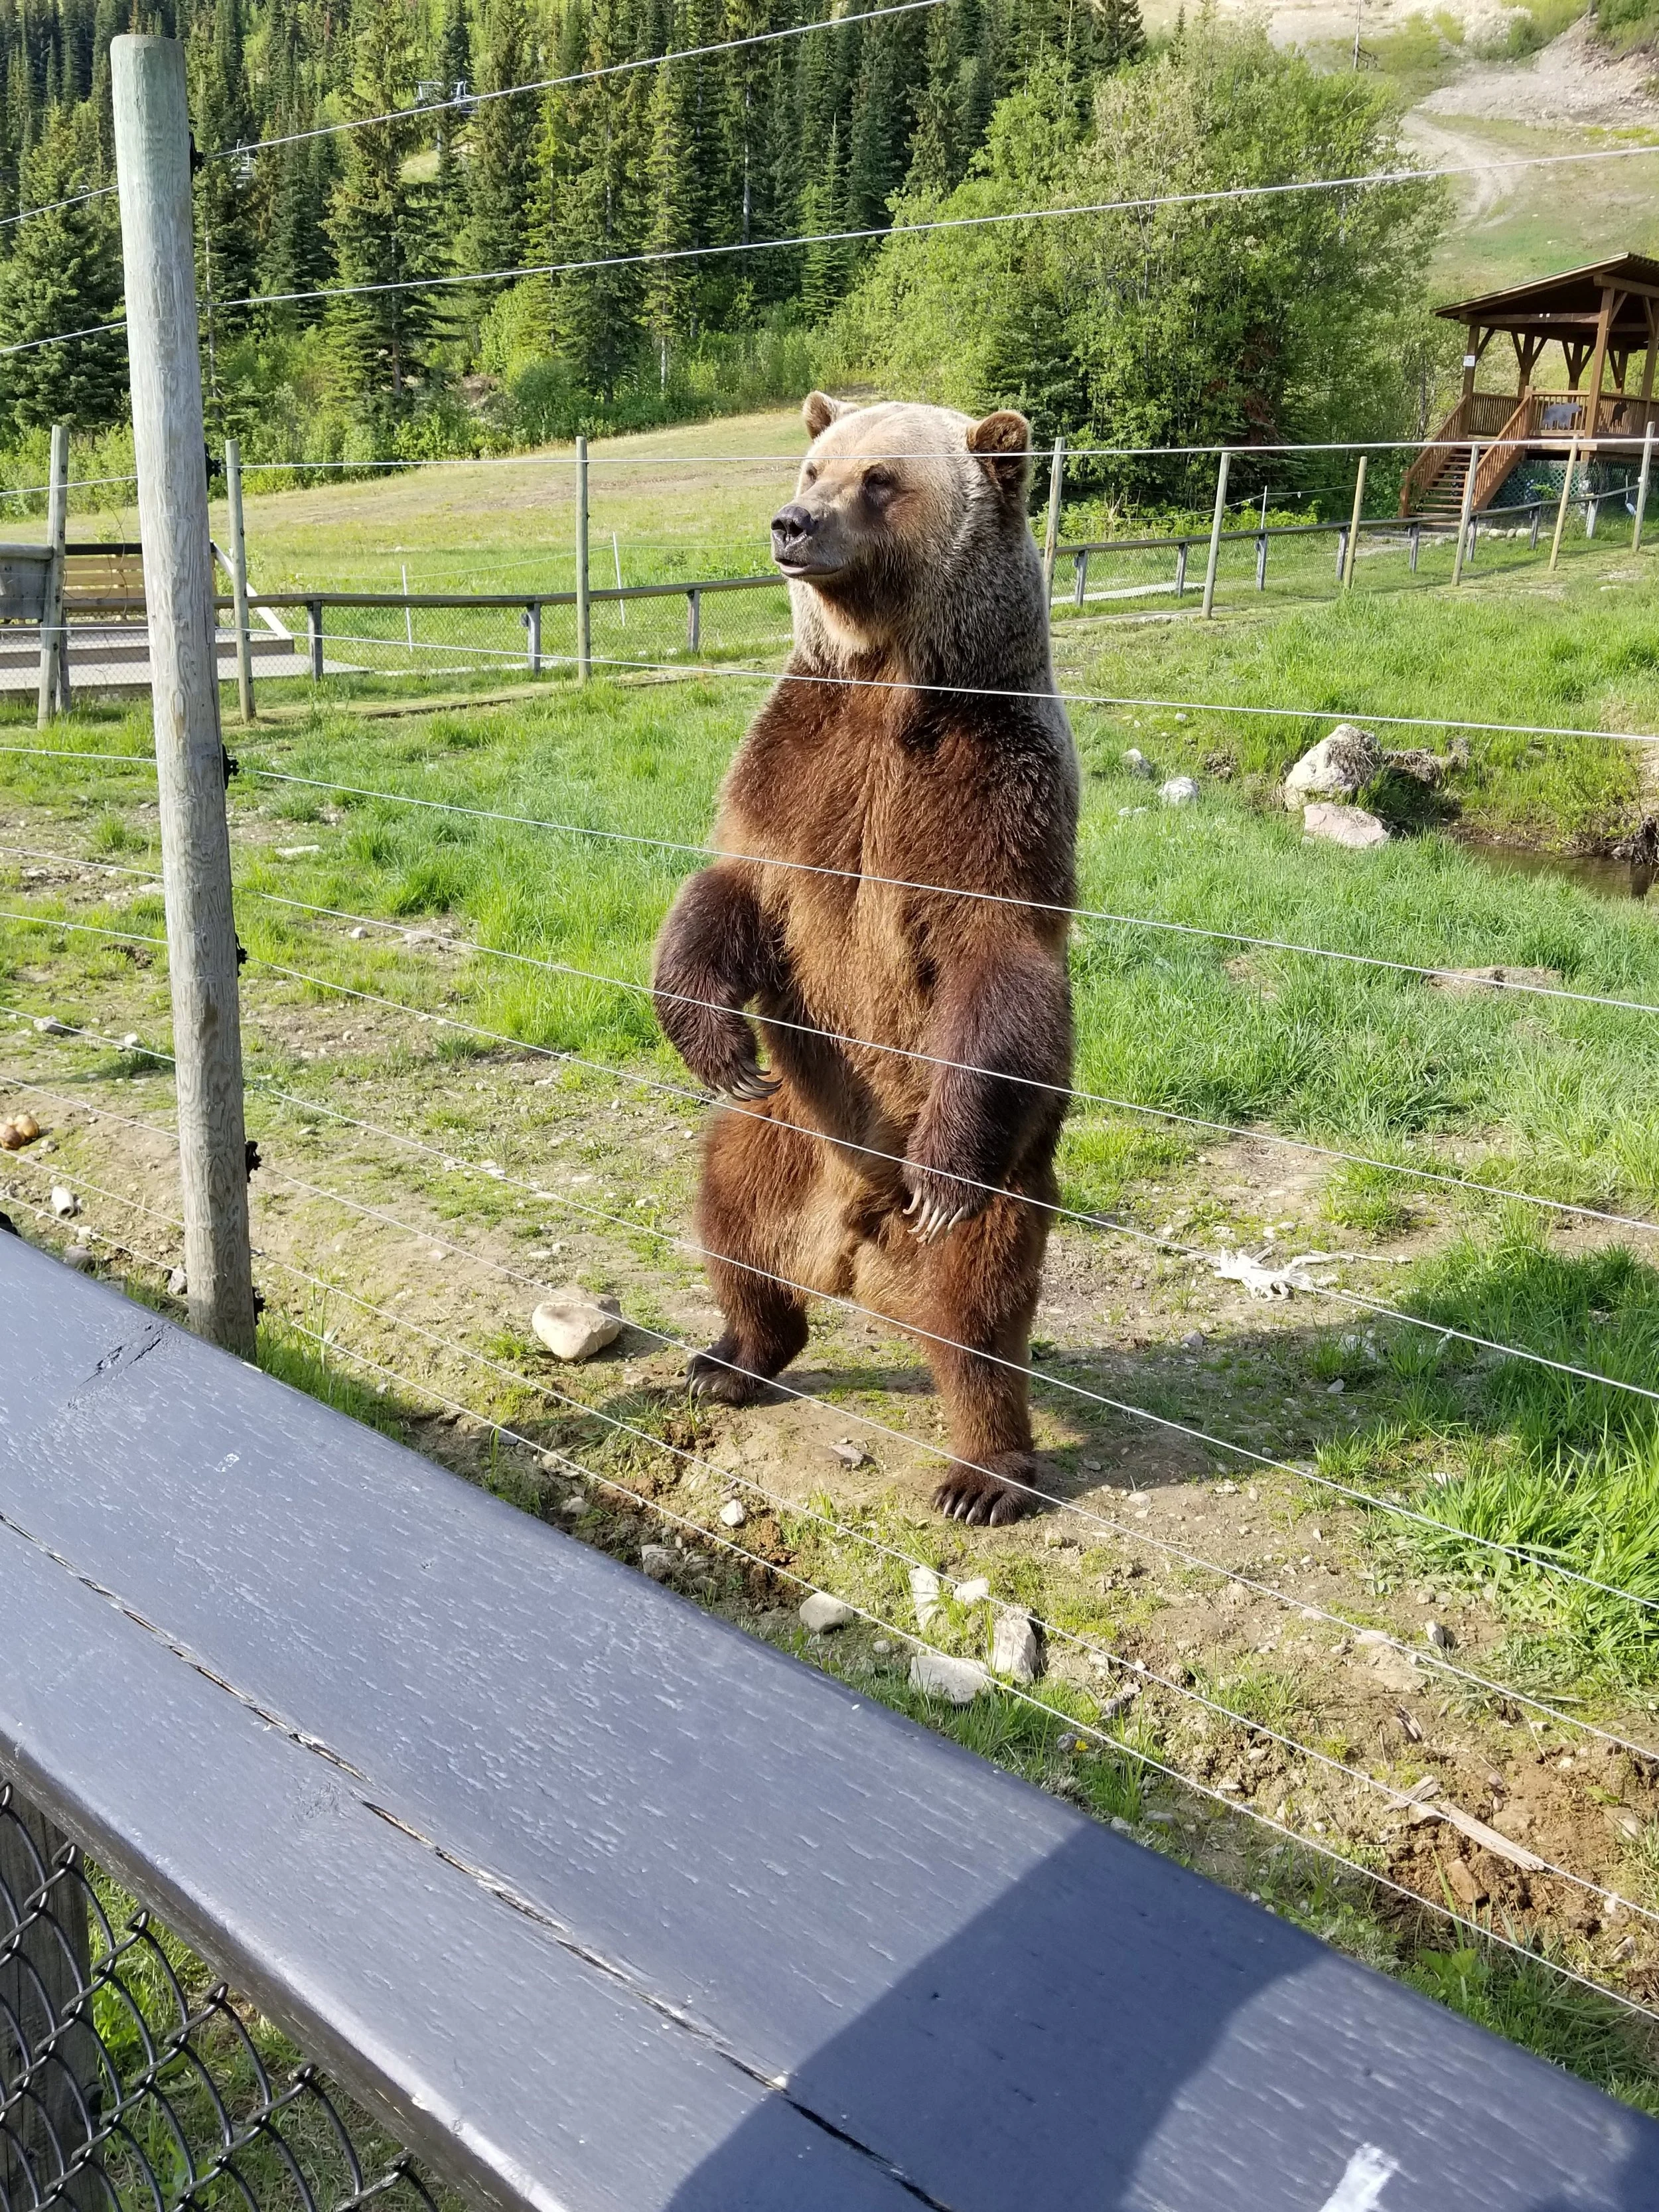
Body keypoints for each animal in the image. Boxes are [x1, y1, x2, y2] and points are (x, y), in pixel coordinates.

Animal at [649, 392, 1078, 1526]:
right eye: (814, 464)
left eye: (881, 479)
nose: (792, 523)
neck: (886, 680)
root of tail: (856, 1248)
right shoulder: (798, 765)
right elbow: (731, 888)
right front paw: (713, 1041)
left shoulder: (987, 793)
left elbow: (997, 959)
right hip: (788, 1131)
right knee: (730, 1220)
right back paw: (730, 1355)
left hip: (1002, 1178)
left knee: (980, 1317)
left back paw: (984, 1473)